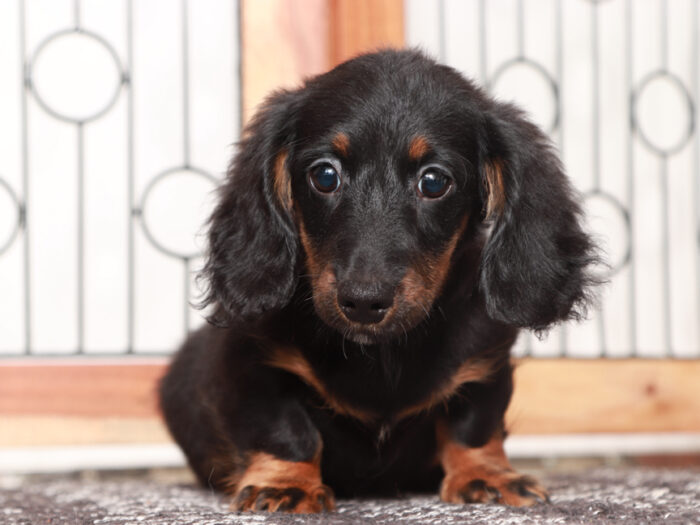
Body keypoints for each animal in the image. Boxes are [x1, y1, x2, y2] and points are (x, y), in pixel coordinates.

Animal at [159, 49, 596, 512]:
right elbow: (285, 429)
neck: (382, 354)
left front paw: (486, 475)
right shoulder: (255, 362)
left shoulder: (484, 361)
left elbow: (473, 424)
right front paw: (285, 484)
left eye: (434, 181)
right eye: (325, 175)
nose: (364, 302)